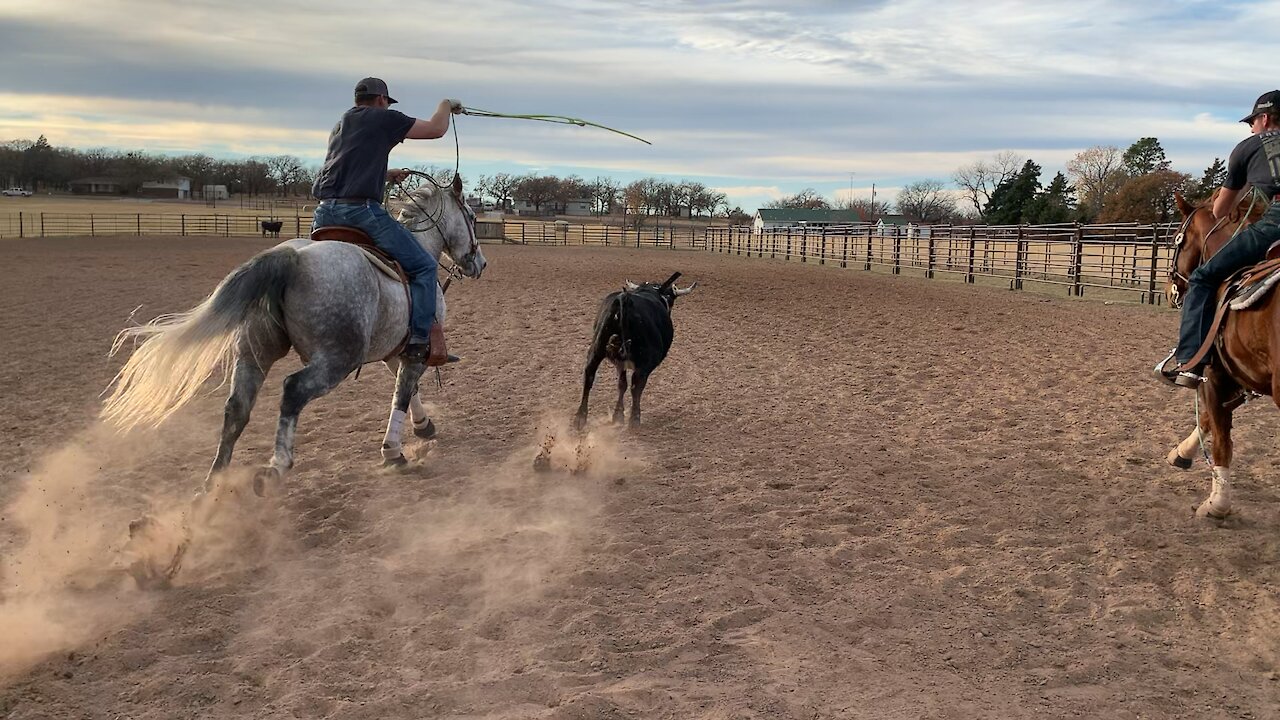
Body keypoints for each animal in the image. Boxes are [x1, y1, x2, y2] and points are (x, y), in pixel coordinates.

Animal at [102, 174, 483, 499]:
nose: (479, 263)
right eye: (472, 217)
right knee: (292, 391)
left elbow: (407, 389)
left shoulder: (396, 350)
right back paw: (274, 468)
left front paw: (424, 426)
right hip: (336, 360)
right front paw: (393, 452)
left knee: (237, 408)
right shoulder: (414, 352)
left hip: (254, 352)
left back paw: (213, 483)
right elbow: (402, 394)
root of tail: (290, 258)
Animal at [1167, 190, 1274, 515]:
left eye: (1176, 238)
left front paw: (1217, 504)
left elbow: (1221, 438)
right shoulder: (1238, 377)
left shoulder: (1213, 374)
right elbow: (1209, 422)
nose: (1169, 290)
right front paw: (1181, 452)